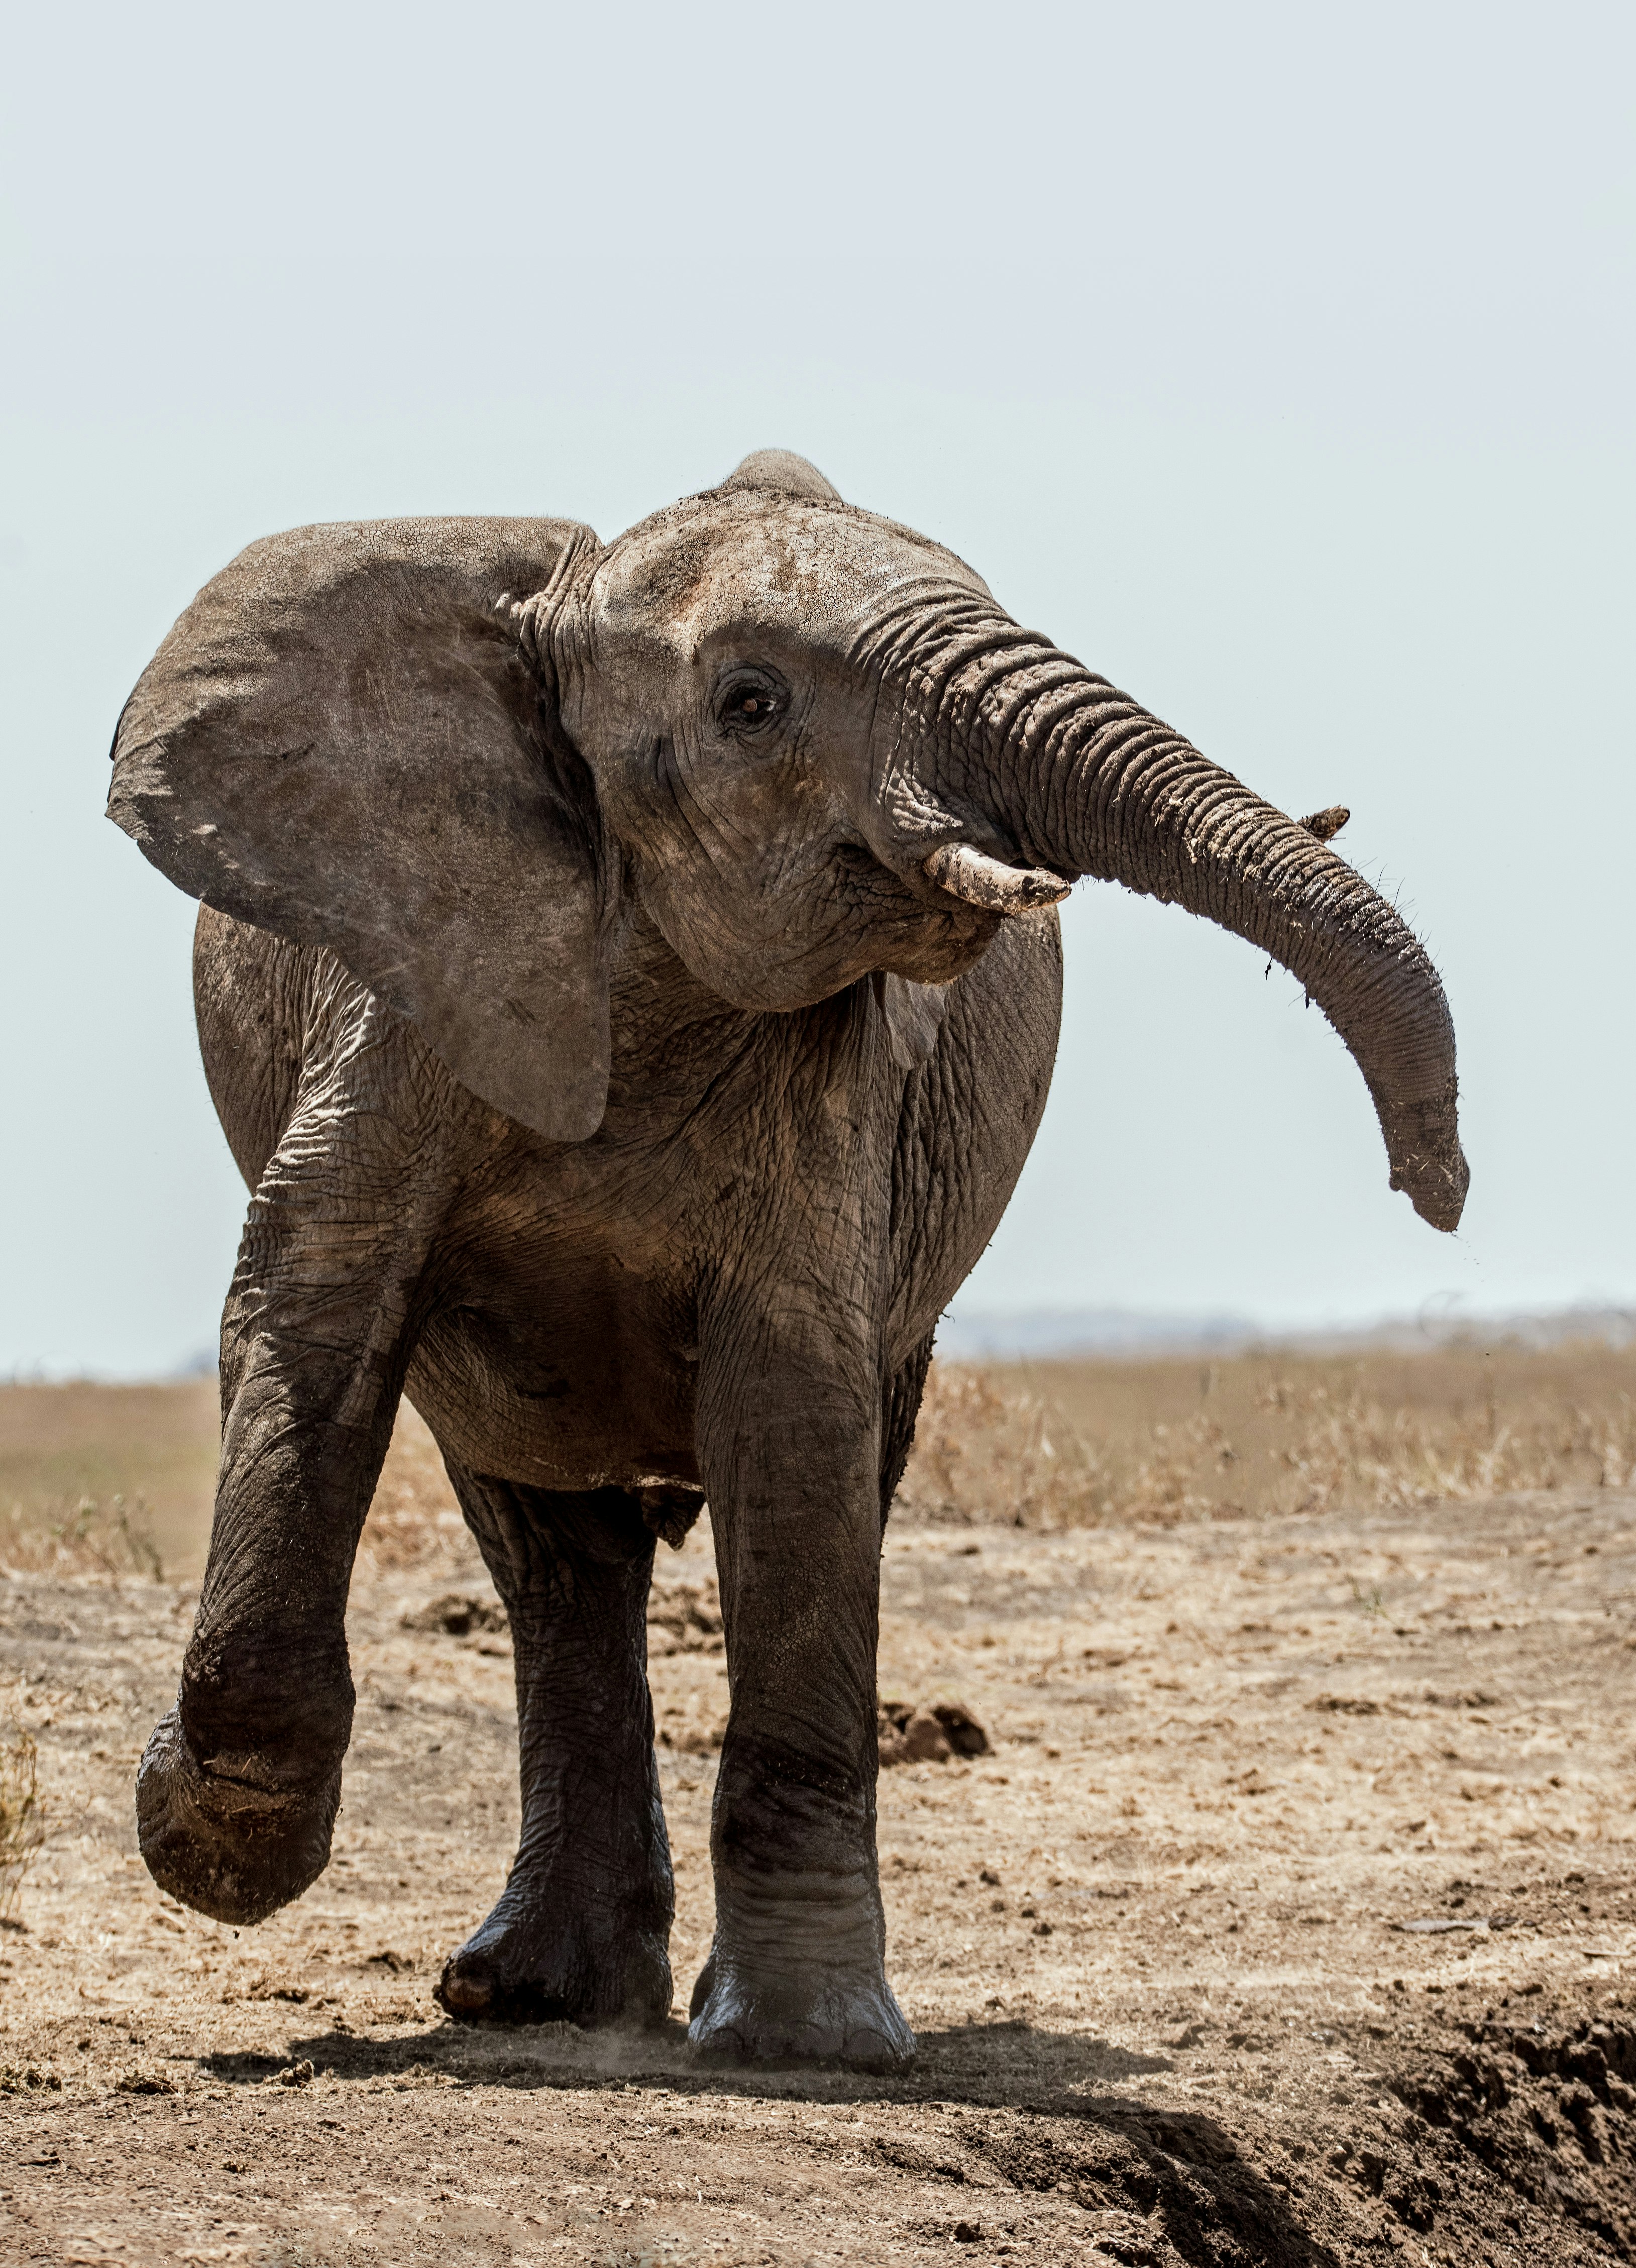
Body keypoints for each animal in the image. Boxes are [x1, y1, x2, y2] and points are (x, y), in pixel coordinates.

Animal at [115, 442, 1470, 2077]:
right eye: (750, 703)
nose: (1435, 1188)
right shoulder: (411, 982)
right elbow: (313, 1298)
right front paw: (208, 1847)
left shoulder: (840, 1084)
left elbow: (790, 1410)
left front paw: (805, 2048)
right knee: (548, 1549)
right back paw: (528, 1997)